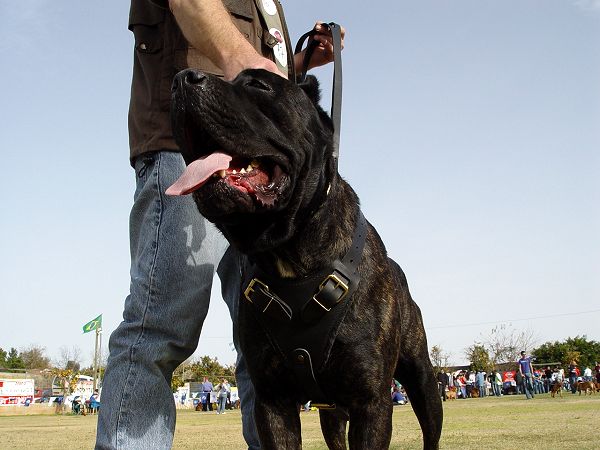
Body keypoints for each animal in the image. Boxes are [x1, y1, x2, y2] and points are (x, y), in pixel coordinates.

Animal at [168, 68, 440, 448]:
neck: (287, 253)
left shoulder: (371, 403)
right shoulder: (272, 403)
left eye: (257, 84)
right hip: (331, 411)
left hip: (422, 379)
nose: (181, 77)